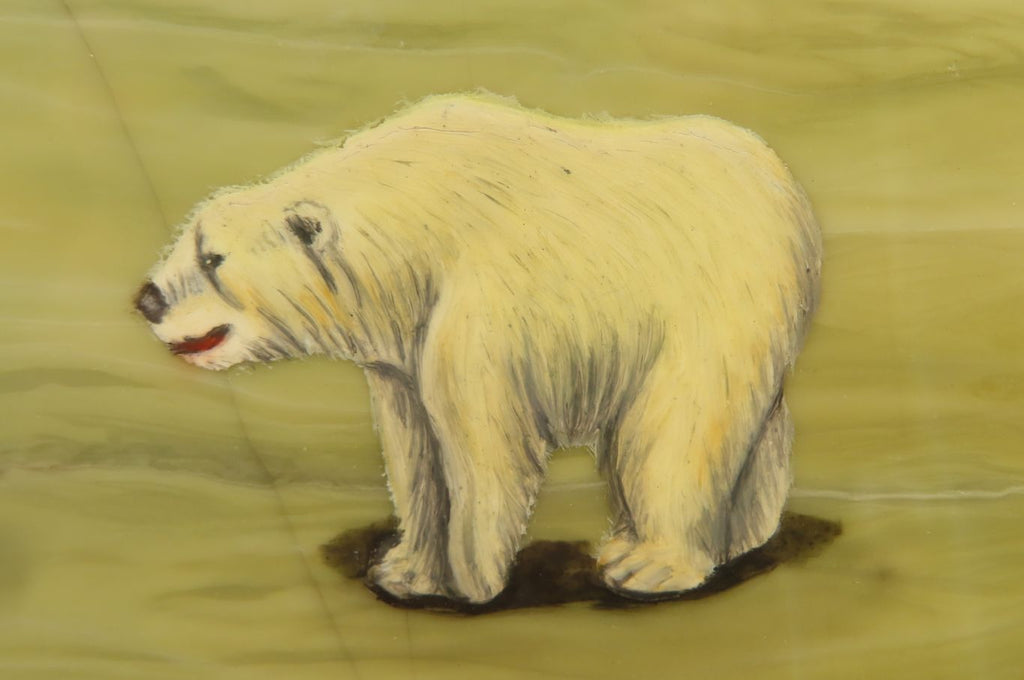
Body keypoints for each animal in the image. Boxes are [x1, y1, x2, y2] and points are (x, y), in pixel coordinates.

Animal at [134, 94, 822, 604]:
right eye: (189, 238)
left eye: (213, 258)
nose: (146, 298)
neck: (416, 220)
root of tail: (782, 181)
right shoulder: (403, 343)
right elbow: (412, 447)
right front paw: (406, 568)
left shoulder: (478, 303)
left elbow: (481, 439)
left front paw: (470, 582)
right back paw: (723, 540)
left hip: (710, 301)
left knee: (676, 427)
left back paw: (647, 565)